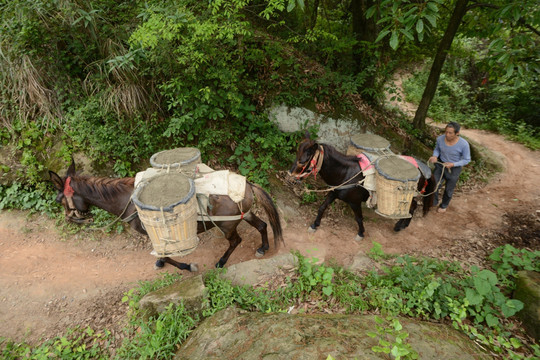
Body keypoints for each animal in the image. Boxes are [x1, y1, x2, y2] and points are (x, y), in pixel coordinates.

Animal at [49, 159, 282, 272]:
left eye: (60, 200)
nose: (71, 219)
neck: (128, 201)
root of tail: (248, 184)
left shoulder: (153, 234)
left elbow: (166, 255)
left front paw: (187, 266)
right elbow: (163, 255)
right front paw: (162, 263)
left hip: (227, 225)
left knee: (236, 241)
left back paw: (221, 262)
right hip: (245, 214)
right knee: (262, 226)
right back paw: (263, 248)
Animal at [288, 134, 436, 239]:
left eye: (303, 161)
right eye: (296, 154)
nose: (289, 177)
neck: (345, 173)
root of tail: (423, 166)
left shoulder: (355, 202)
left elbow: (359, 218)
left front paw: (361, 233)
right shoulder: (333, 193)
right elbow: (322, 208)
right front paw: (314, 225)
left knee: (411, 207)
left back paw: (400, 226)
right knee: (413, 206)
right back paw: (401, 225)